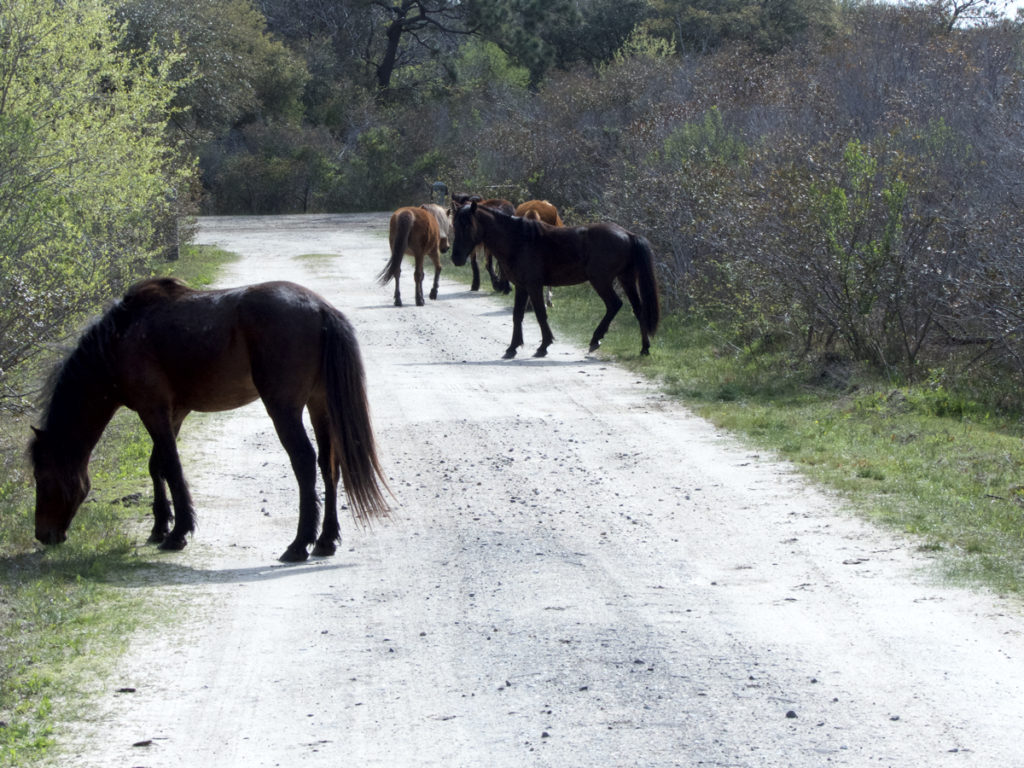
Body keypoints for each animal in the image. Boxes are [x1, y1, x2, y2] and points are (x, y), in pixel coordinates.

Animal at [29, 280, 391, 561]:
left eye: (43, 479)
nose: (43, 535)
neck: (121, 337)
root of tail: (320, 309)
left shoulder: (153, 410)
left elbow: (171, 467)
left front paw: (178, 533)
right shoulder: (173, 412)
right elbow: (157, 466)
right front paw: (160, 527)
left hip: (284, 408)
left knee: (304, 462)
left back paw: (299, 544)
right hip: (320, 405)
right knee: (329, 466)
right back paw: (326, 540)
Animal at [452, 204, 659, 360]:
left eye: (467, 226)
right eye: (454, 225)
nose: (456, 259)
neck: (519, 240)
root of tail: (628, 234)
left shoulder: (534, 286)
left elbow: (540, 314)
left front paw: (543, 346)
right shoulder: (521, 287)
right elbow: (517, 315)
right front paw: (512, 348)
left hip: (601, 280)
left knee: (614, 304)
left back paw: (595, 340)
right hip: (626, 279)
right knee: (638, 309)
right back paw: (644, 348)